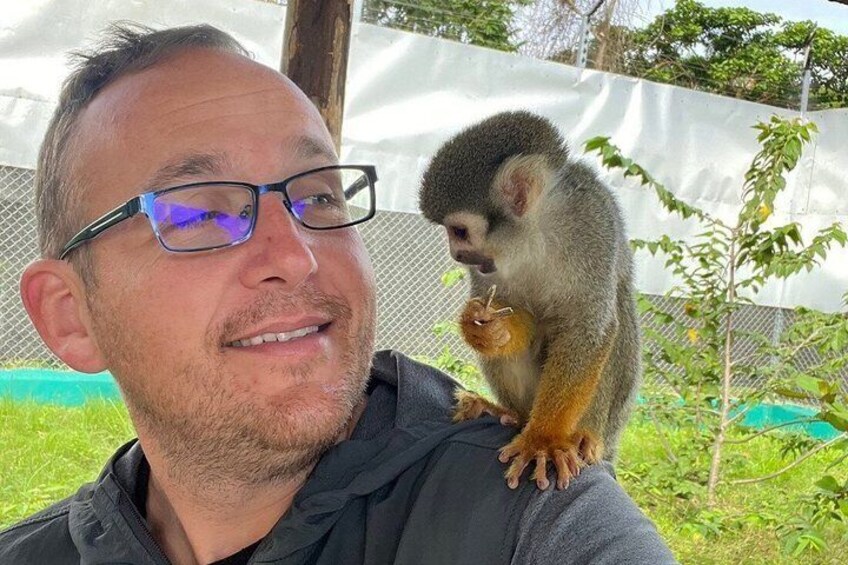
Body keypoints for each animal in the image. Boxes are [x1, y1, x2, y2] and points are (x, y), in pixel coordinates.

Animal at [418, 111, 641, 490]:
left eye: (459, 231)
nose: (456, 255)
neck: (533, 233)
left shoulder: (593, 225)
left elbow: (587, 328)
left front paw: (544, 439)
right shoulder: (489, 264)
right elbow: (512, 313)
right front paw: (487, 330)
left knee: (616, 323)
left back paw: (582, 436)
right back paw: (510, 413)